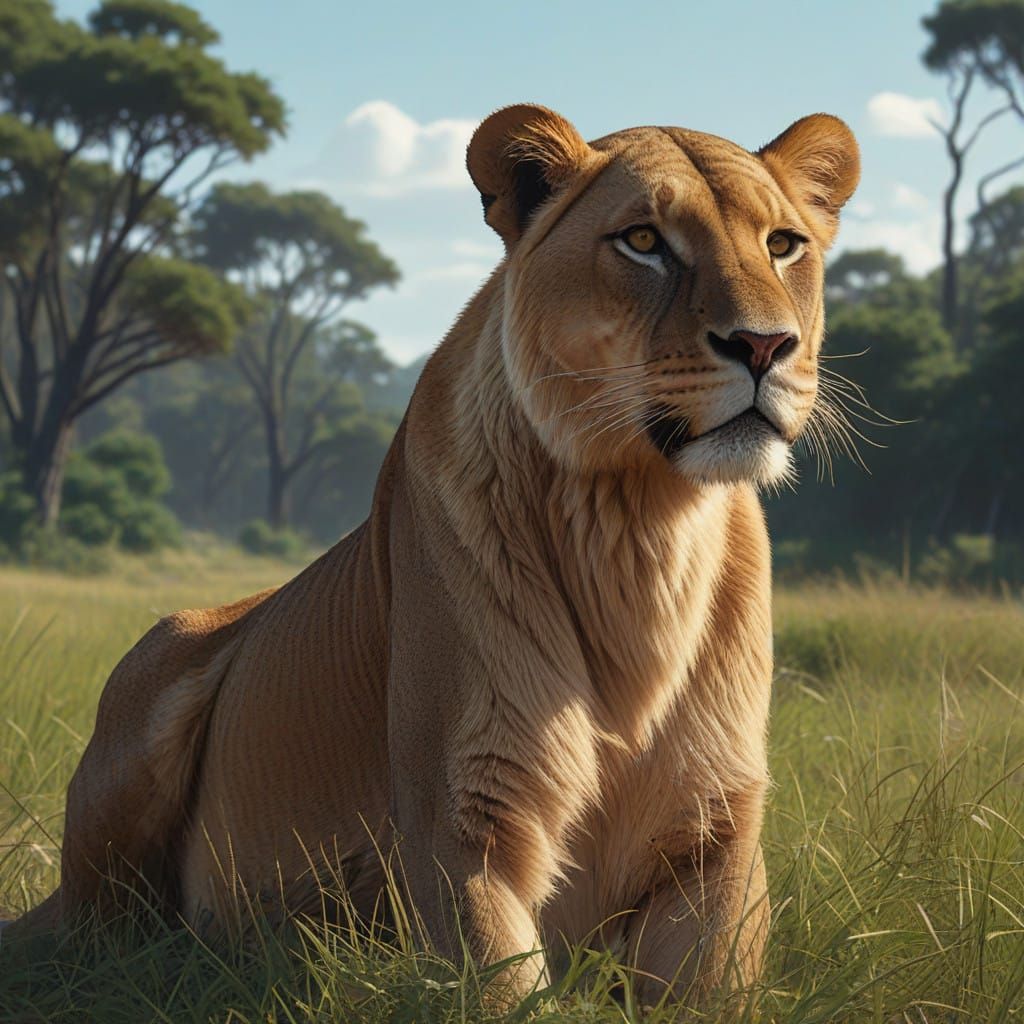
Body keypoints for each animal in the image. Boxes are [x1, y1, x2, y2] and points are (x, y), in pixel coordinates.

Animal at [8, 104, 859, 1005]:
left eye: (783, 244)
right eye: (643, 241)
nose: (765, 346)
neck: (642, 523)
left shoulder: (716, 830)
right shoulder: (463, 818)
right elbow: (505, 986)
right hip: (154, 679)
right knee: (98, 942)